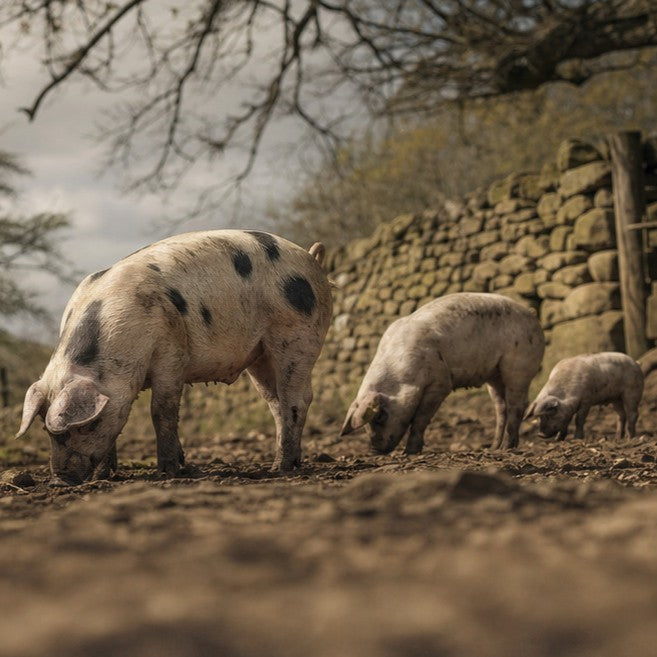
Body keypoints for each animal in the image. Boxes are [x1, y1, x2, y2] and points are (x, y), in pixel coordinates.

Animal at [17, 230, 332, 484]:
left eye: (86, 426)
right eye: (47, 429)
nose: (58, 481)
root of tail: (311, 258)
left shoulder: (170, 352)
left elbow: (161, 411)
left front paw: (168, 471)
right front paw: (105, 476)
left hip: (296, 337)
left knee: (297, 398)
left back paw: (280, 469)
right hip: (259, 356)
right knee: (275, 402)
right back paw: (286, 462)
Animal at [340, 292, 545, 453]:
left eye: (381, 416)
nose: (374, 450)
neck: (401, 375)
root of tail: (532, 315)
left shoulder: (439, 382)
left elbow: (420, 418)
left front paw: (409, 452)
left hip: (518, 366)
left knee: (517, 405)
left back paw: (507, 448)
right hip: (494, 375)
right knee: (501, 407)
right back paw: (493, 447)